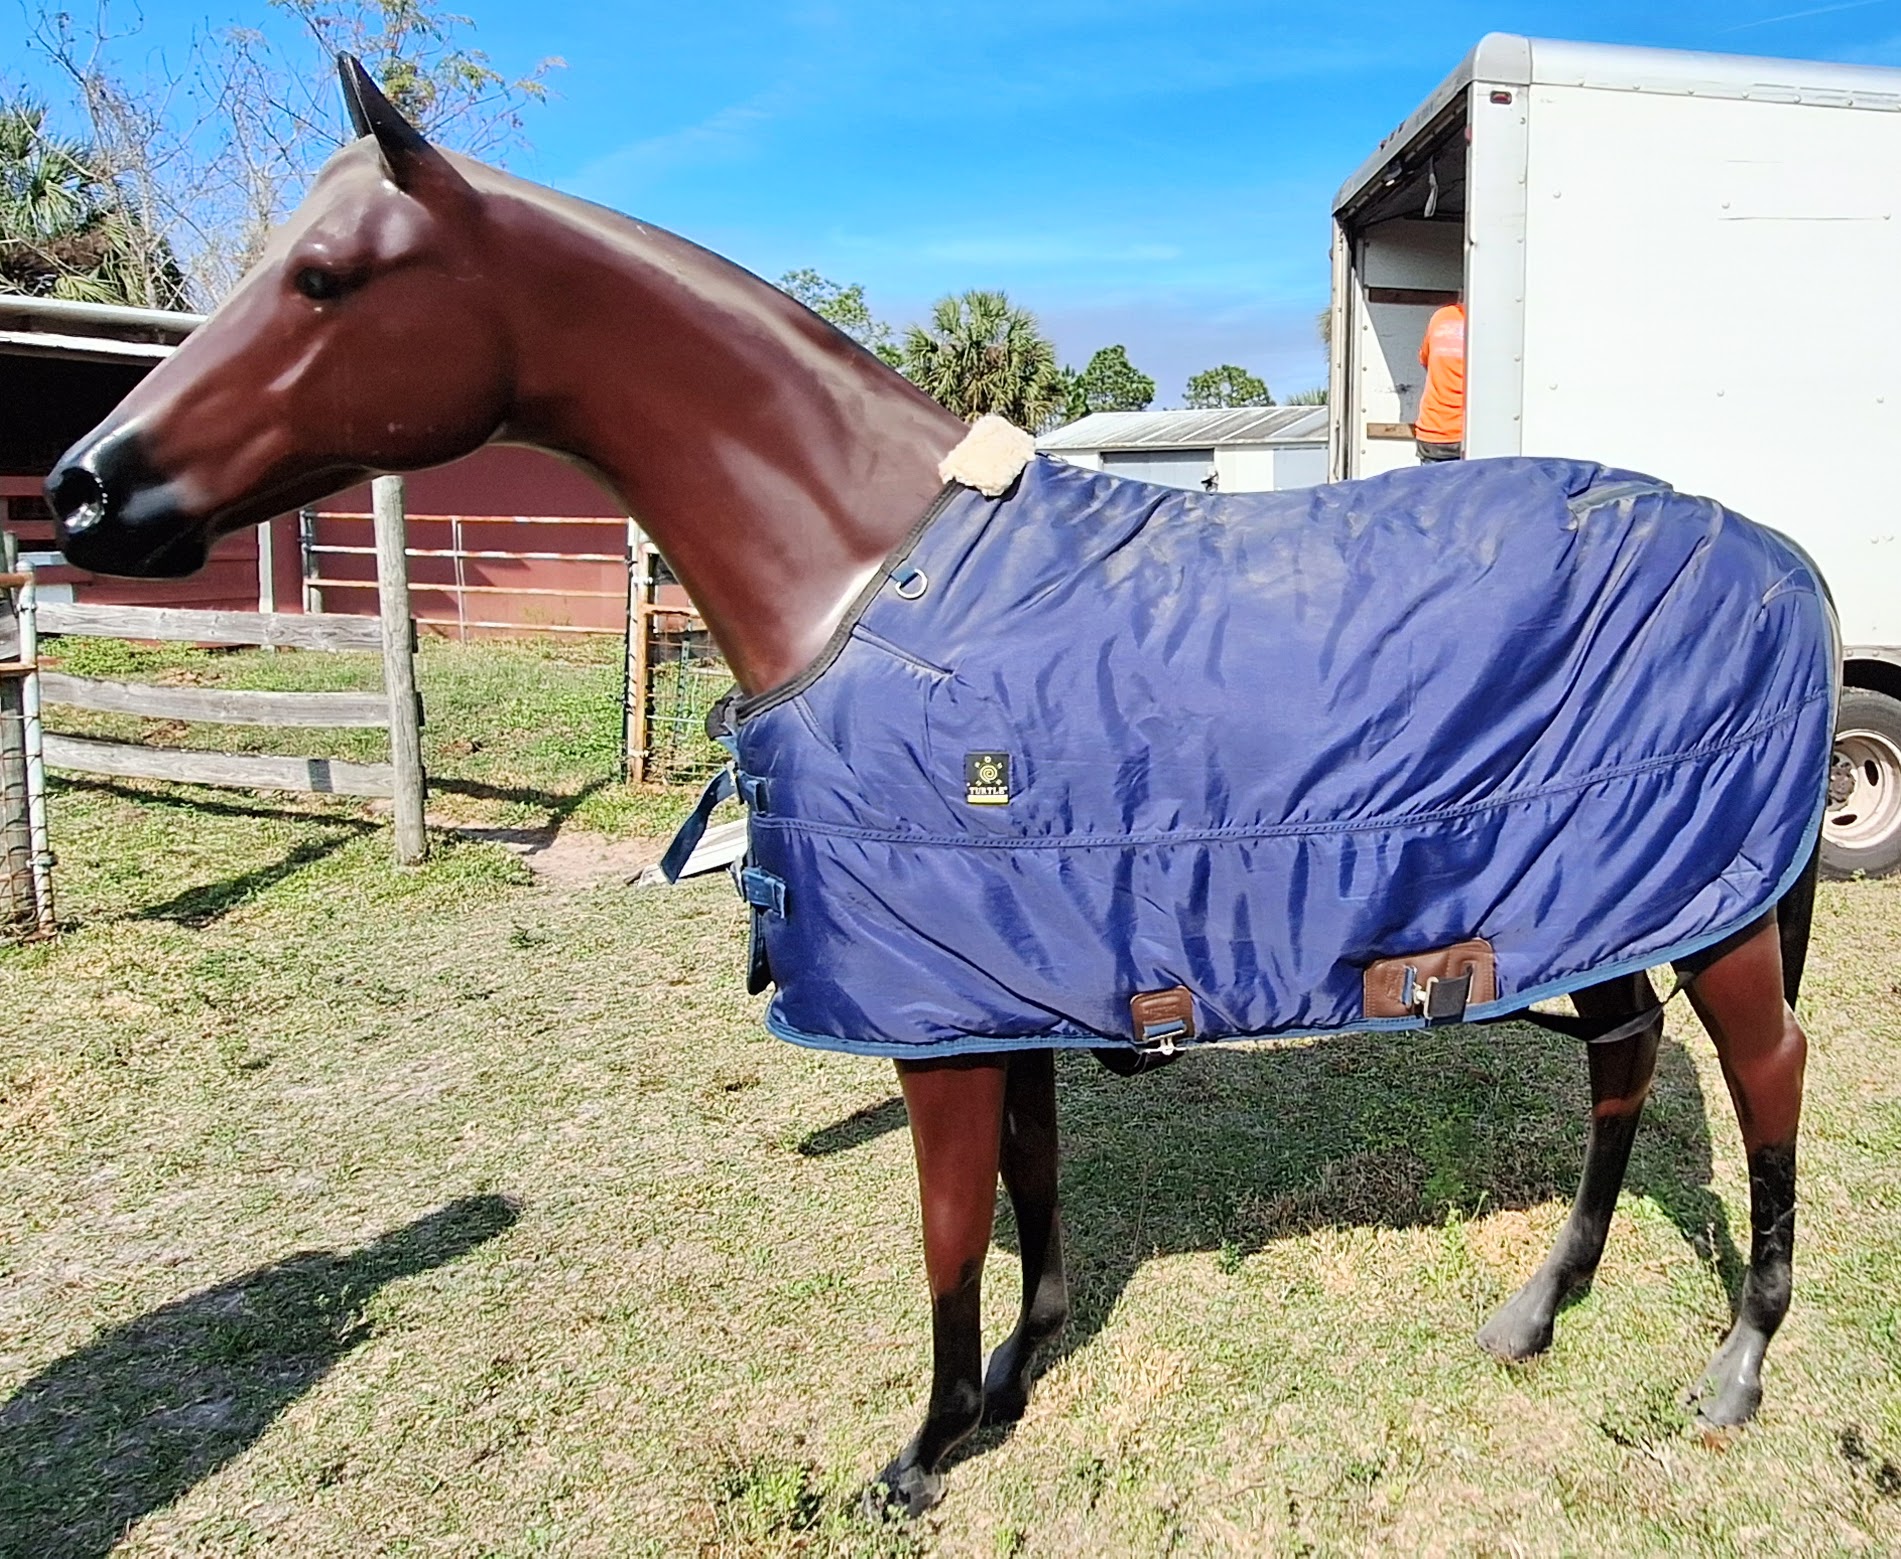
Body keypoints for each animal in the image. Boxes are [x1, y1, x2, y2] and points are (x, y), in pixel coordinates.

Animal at [45, 57, 1824, 1519]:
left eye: (325, 278)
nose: (82, 488)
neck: (859, 576)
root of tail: (1782, 555)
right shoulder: (995, 982)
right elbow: (1027, 1195)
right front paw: (1015, 1388)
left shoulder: (933, 1015)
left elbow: (950, 1227)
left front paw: (921, 1449)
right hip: (1594, 900)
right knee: (1623, 1062)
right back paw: (1536, 1308)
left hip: (1712, 906)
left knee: (1764, 1074)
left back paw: (1736, 1365)